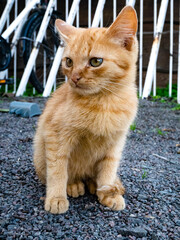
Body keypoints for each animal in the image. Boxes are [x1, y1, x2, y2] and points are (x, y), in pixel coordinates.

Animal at [33, 6, 138, 214]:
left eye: (96, 61)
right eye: (68, 62)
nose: (74, 78)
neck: (104, 102)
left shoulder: (116, 143)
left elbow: (108, 169)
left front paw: (108, 193)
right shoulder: (55, 136)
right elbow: (58, 169)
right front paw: (56, 198)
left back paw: (108, 185)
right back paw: (74, 185)